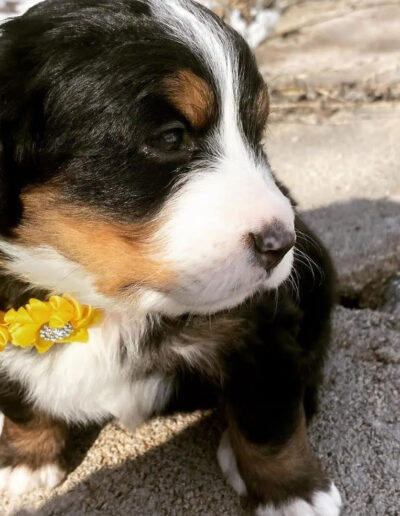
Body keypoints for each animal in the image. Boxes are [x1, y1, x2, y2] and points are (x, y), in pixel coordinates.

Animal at [0, 0, 340, 512]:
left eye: (257, 136)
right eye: (170, 138)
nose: (280, 243)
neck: (107, 304)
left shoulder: (263, 327)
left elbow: (271, 420)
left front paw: (293, 493)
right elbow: (19, 401)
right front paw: (24, 460)